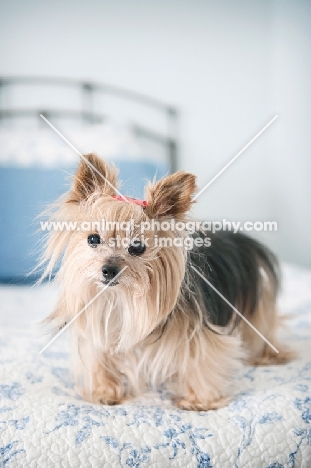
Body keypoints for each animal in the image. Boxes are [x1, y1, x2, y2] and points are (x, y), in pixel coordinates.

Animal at [40, 153, 292, 410]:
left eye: (137, 246)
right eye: (93, 239)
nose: (109, 270)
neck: (122, 298)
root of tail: (236, 235)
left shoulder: (198, 332)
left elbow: (202, 358)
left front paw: (199, 400)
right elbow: (100, 357)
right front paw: (104, 392)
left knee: (260, 330)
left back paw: (271, 355)